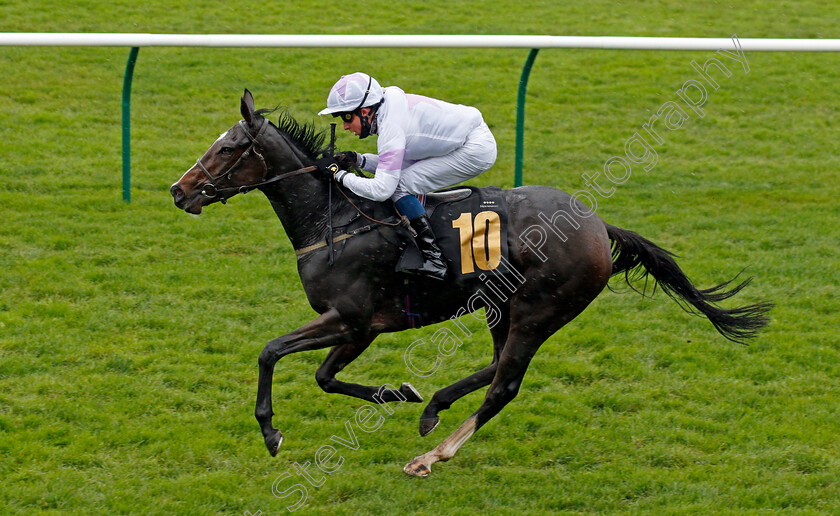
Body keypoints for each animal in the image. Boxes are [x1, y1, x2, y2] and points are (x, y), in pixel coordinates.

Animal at [171, 90, 776, 478]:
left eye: (227, 149)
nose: (179, 191)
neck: (334, 220)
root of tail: (598, 225)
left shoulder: (353, 319)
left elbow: (271, 351)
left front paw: (271, 432)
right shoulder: (361, 328)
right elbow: (323, 376)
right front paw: (399, 392)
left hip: (539, 308)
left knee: (505, 381)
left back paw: (432, 454)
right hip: (500, 306)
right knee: (496, 366)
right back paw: (432, 405)